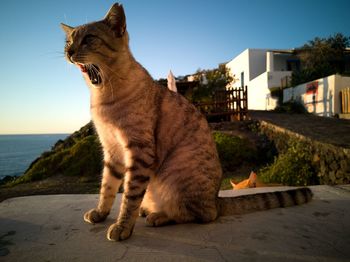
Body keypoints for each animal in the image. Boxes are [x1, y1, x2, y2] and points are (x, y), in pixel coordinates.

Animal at [61, 3, 314, 243]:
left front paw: (122, 227)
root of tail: (217, 199)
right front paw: (100, 213)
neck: (102, 94)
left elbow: (130, 196)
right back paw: (148, 210)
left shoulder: (138, 150)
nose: (69, 52)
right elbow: (107, 188)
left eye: (89, 39)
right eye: (69, 41)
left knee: (201, 215)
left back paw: (158, 216)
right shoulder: (111, 150)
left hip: (174, 178)